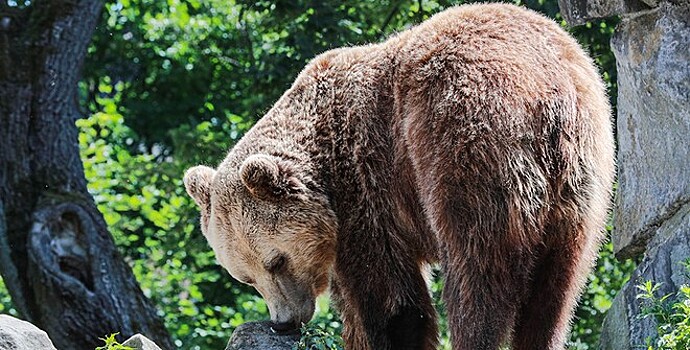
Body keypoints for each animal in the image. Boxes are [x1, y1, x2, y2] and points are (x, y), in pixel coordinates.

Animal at [183, 3, 612, 350]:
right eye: (246, 277)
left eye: (276, 261)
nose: (283, 323)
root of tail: (549, 93)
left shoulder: (367, 186)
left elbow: (389, 299)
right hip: (580, 186)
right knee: (556, 291)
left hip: (463, 142)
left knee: (477, 272)